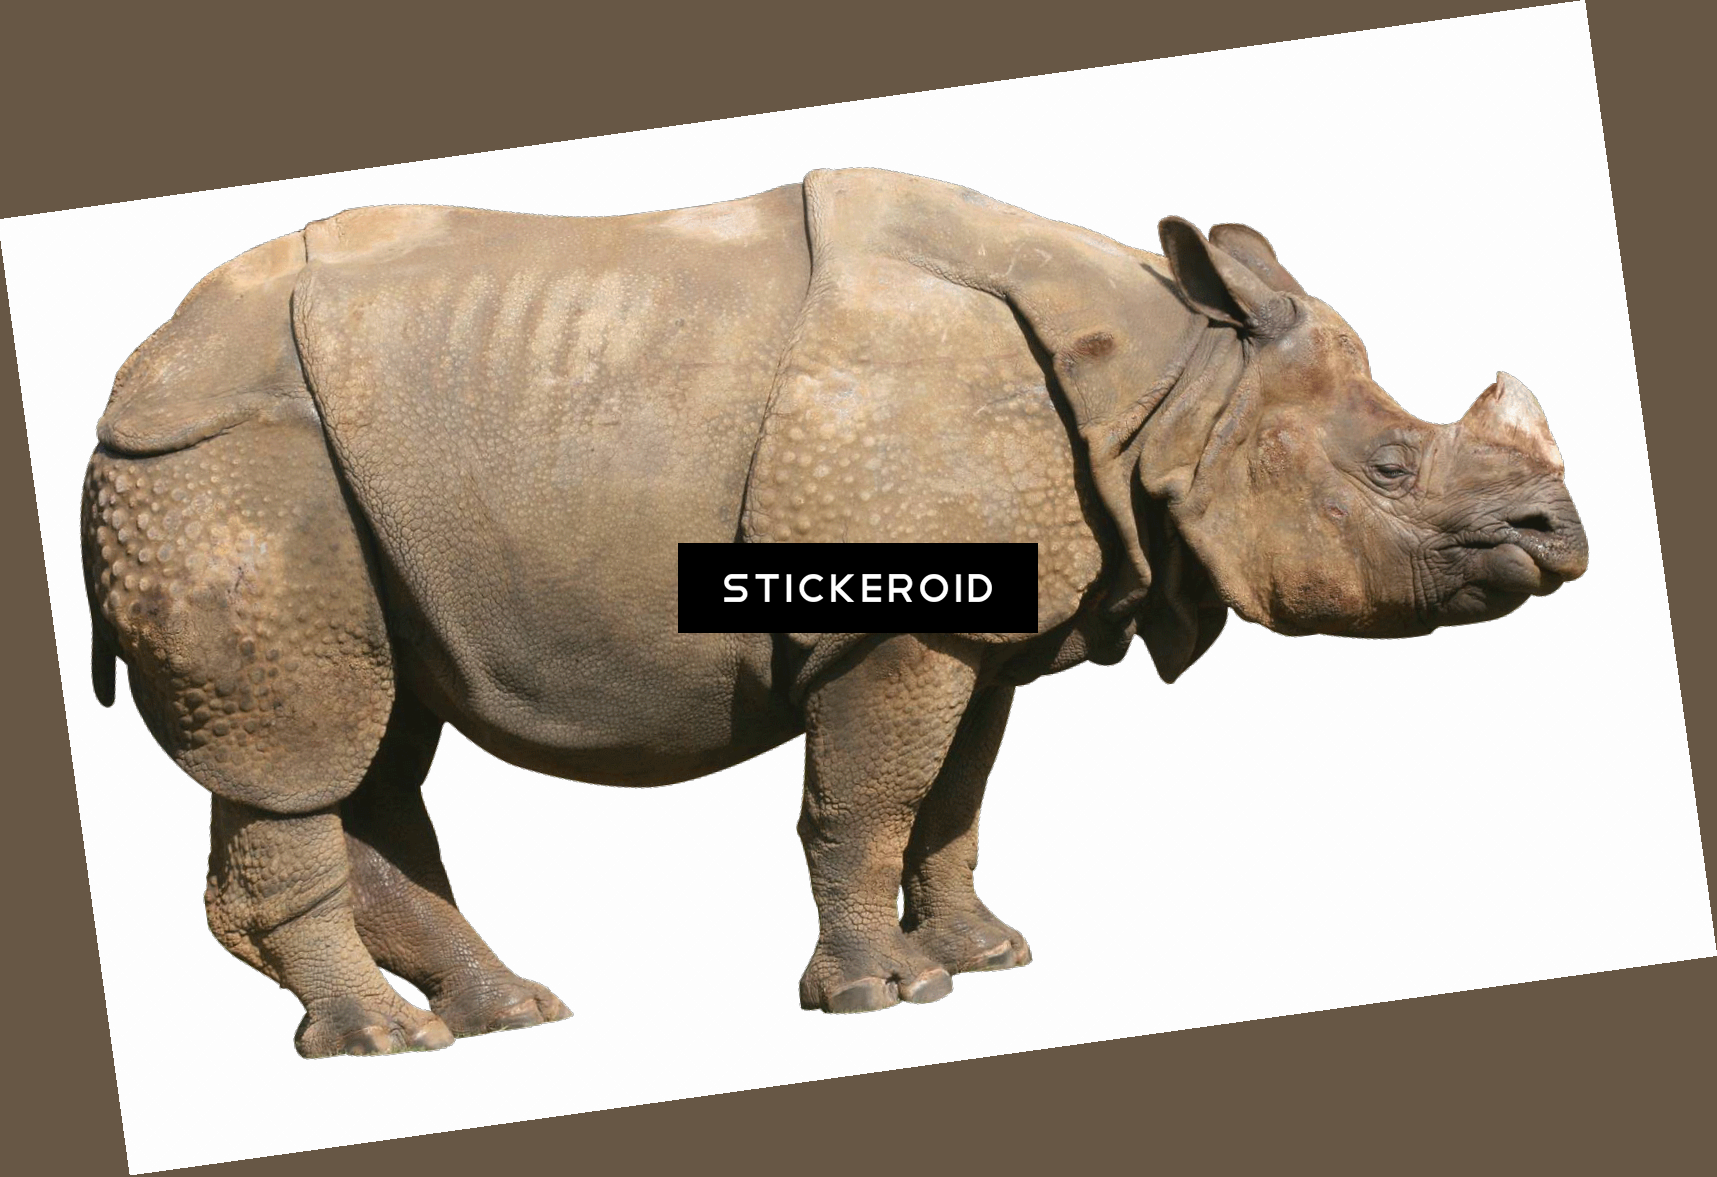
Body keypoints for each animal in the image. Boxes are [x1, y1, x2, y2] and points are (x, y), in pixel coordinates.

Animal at [80, 168, 1588, 1057]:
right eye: (1389, 469)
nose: (1561, 543)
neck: (1175, 382)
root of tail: (136, 366)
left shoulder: (985, 626)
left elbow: (954, 801)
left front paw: (982, 955)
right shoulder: (893, 625)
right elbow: (865, 803)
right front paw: (879, 995)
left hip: (336, 475)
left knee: (368, 742)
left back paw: (507, 1012)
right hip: (227, 453)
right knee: (304, 743)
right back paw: (388, 1043)